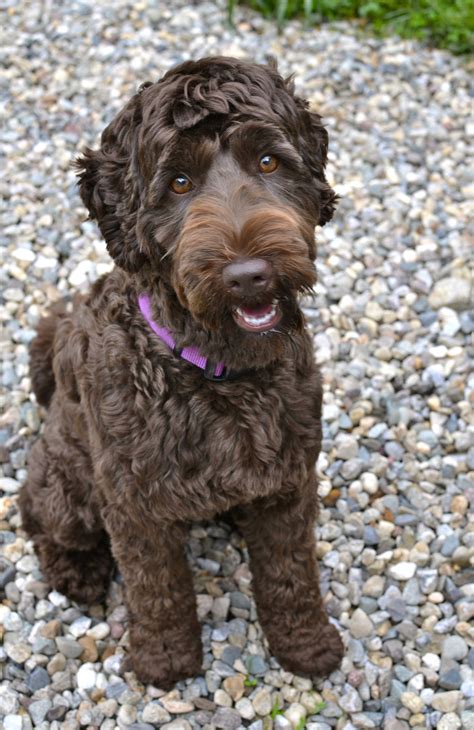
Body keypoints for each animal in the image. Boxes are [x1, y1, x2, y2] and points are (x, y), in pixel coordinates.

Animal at [19, 54, 344, 684]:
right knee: (39, 515)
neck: (219, 373)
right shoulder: (134, 503)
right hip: (68, 480)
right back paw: (77, 571)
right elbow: (157, 586)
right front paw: (166, 658)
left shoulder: (289, 485)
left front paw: (306, 644)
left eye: (268, 161)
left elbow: (291, 573)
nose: (248, 275)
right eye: (179, 184)